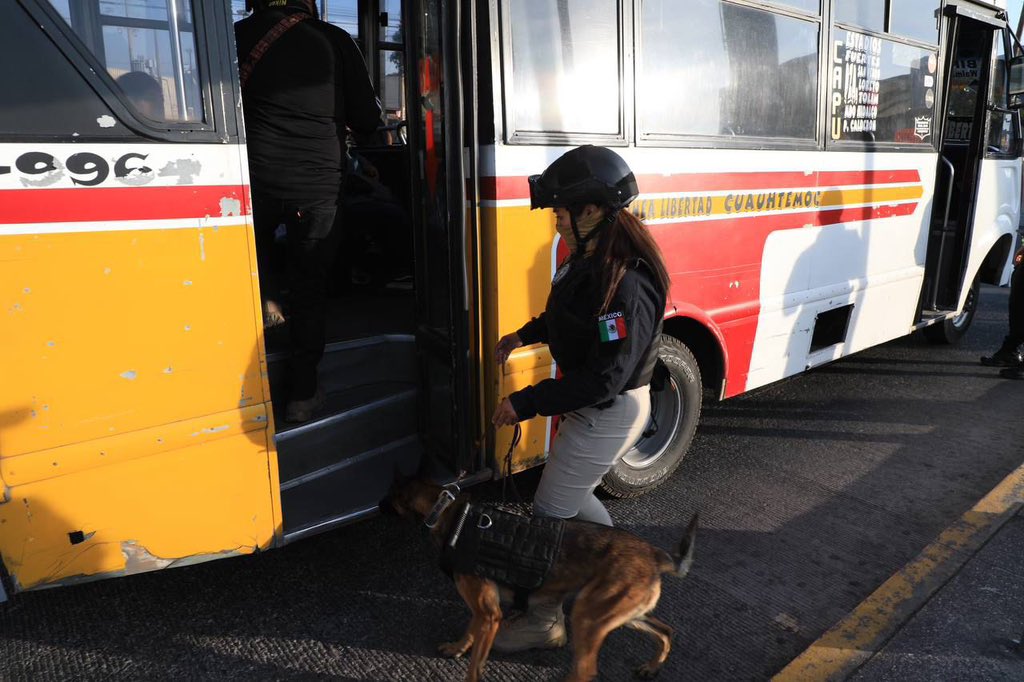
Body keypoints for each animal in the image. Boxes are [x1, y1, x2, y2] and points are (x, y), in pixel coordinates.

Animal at [380, 475, 700, 679]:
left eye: (390, 498)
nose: (378, 506)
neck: (448, 512)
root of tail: (656, 554)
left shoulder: (489, 615)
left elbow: (475, 666)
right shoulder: (483, 611)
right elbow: (469, 630)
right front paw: (457, 648)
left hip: (589, 615)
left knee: (586, 671)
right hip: (625, 613)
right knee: (666, 631)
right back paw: (652, 667)